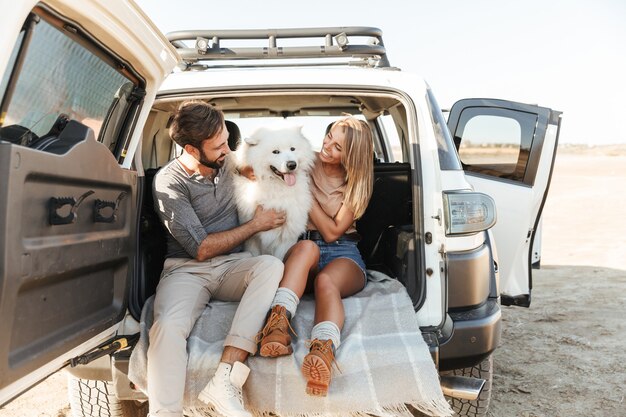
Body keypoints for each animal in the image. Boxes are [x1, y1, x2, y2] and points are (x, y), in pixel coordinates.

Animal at [230, 124, 314, 260]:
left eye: (292, 149)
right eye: (275, 152)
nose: (292, 164)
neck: (276, 188)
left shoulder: (286, 238)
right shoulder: (252, 240)